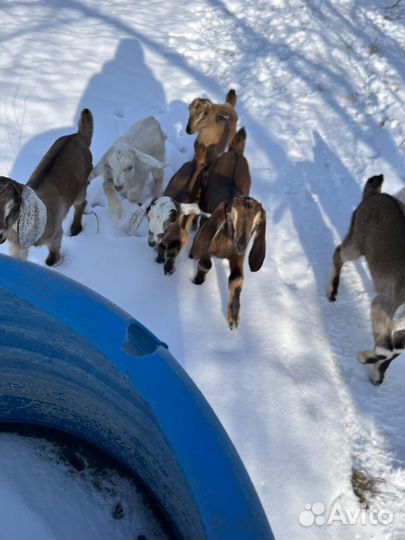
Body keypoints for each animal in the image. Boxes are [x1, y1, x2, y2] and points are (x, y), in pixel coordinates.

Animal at [0, 108, 92, 266]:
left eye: (15, 207)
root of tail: (78, 136)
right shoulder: (17, 246)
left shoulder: (55, 233)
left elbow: (52, 259)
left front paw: (57, 262)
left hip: (82, 186)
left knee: (81, 203)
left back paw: (75, 229)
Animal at [189, 195, 266, 330]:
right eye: (229, 217)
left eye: (257, 224)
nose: (241, 246)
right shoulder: (207, 246)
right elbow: (205, 264)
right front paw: (197, 282)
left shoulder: (237, 256)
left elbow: (237, 278)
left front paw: (233, 317)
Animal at [326, 175, 404, 386]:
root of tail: (375, 196)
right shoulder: (383, 305)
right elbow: (387, 350)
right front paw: (364, 358)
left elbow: (395, 351)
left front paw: (377, 374)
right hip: (357, 243)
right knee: (339, 252)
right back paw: (332, 291)